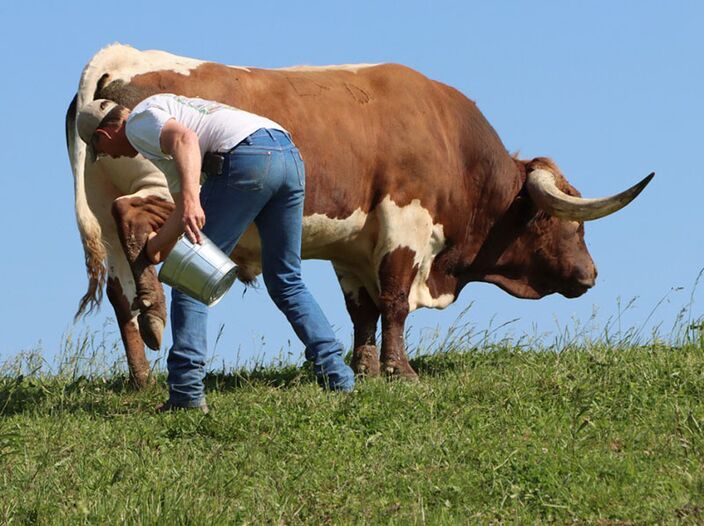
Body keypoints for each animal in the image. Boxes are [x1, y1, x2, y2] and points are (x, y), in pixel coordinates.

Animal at [66, 44, 652, 388]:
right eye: (567, 222)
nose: (590, 274)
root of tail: (119, 57)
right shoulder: (405, 223)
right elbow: (393, 300)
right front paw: (401, 372)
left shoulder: (352, 247)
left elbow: (362, 309)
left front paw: (366, 368)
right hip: (167, 184)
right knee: (134, 221)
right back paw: (155, 311)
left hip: (100, 215)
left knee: (118, 291)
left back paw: (143, 374)